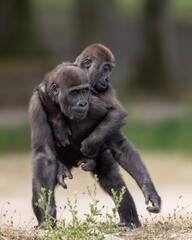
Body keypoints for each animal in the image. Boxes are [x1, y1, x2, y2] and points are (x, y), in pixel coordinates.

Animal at [29, 63, 141, 229]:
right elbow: (44, 155)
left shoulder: (97, 106)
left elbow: (116, 124)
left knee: (111, 177)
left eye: (83, 91)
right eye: (74, 93)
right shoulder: (37, 105)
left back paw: (130, 221)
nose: (83, 103)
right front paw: (45, 216)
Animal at [55, 44, 160, 214]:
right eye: (105, 68)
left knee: (114, 181)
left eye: (110, 69)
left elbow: (117, 118)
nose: (107, 79)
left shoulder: (106, 90)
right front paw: (60, 128)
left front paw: (149, 191)